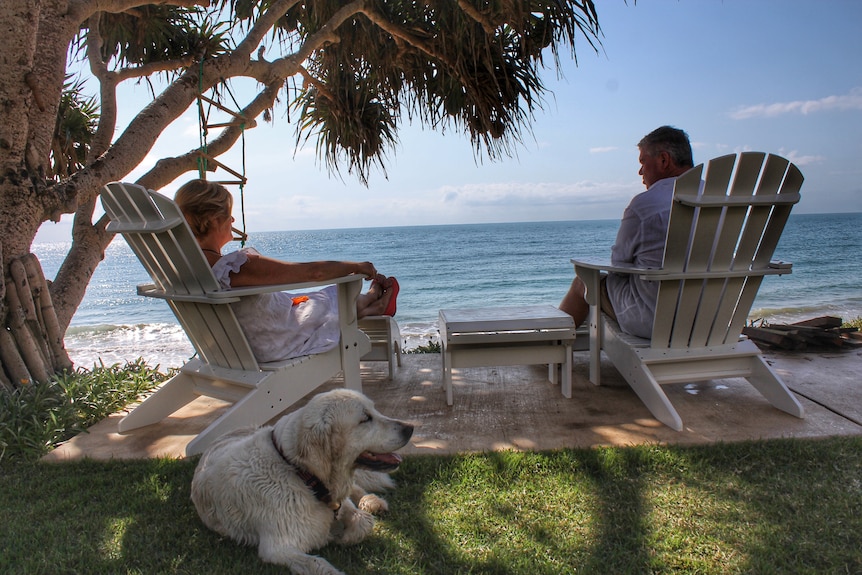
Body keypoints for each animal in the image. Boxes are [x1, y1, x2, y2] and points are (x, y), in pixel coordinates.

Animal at [191, 390, 414, 572]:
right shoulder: (277, 548)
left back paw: (372, 501)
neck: (301, 474)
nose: (410, 428)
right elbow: (318, 563)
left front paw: (342, 534)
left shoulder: (340, 503)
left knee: (356, 489)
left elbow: (363, 521)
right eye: (365, 419)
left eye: (375, 410)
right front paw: (336, 537)